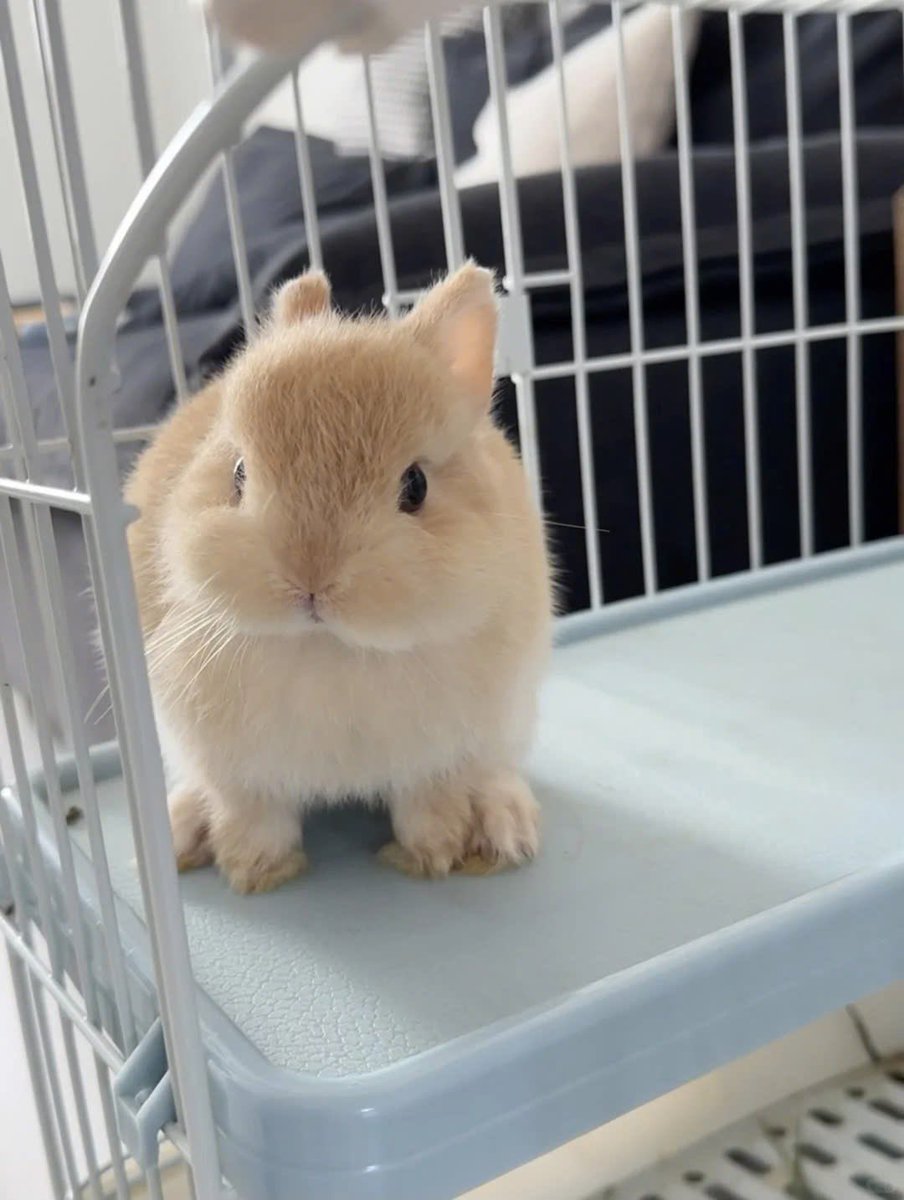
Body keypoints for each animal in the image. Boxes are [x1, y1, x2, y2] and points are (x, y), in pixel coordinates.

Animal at [125, 263, 553, 894]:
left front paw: (436, 854)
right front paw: (254, 872)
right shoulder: (239, 773)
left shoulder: (436, 759)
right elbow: (251, 816)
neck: (329, 648)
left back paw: (506, 828)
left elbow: (430, 805)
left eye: (416, 485)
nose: (310, 578)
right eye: (238, 473)